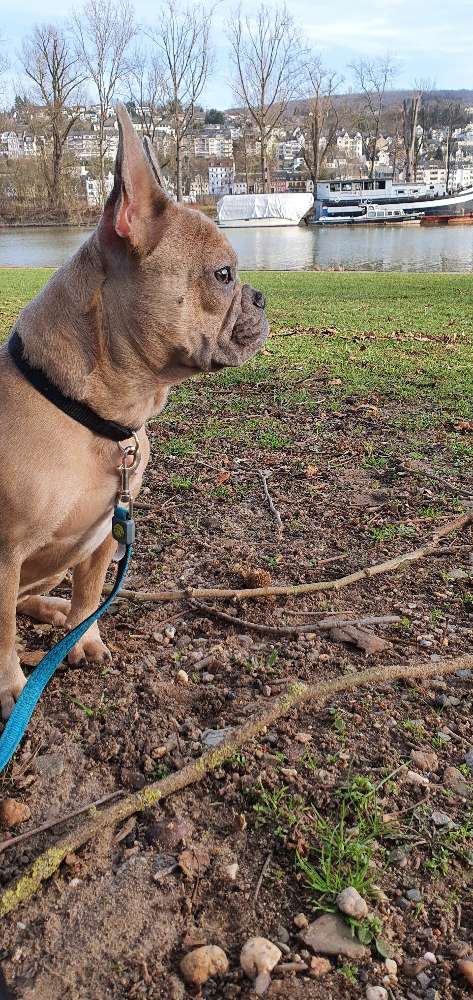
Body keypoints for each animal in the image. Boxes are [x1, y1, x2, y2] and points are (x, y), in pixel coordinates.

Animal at [0, 105, 268, 720]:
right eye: (223, 275)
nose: (261, 296)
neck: (94, 414)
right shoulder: (1, 556)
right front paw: (8, 686)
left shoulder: (104, 535)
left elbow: (89, 593)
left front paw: (83, 639)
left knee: (38, 597)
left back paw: (52, 611)